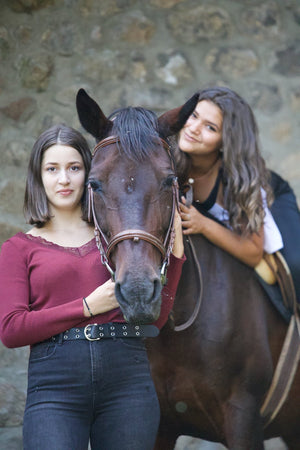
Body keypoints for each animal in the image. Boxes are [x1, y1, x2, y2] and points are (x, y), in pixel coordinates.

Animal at [76, 89, 298, 448]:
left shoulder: (244, 419)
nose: (138, 292)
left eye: (169, 181)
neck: (175, 332)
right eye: (94, 184)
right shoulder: (156, 423)